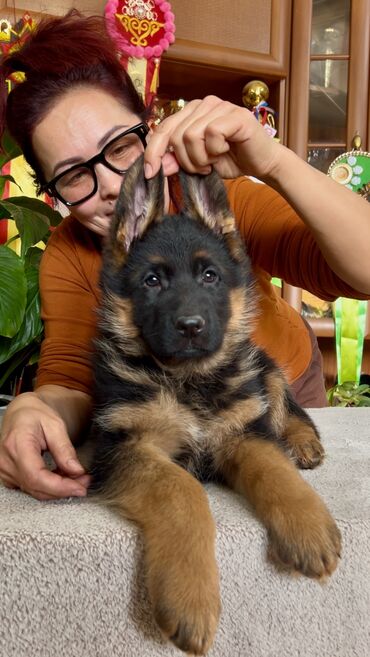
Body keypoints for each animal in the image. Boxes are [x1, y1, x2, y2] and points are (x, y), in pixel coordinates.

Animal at [89, 156, 342, 652]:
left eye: (210, 276)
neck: (188, 379)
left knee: (290, 412)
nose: (191, 326)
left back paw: (303, 444)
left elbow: (275, 469)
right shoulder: (123, 446)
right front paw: (190, 597)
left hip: (265, 369)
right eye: (152, 281)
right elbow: (180, 489)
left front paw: (308, 524)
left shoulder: (243, 430)